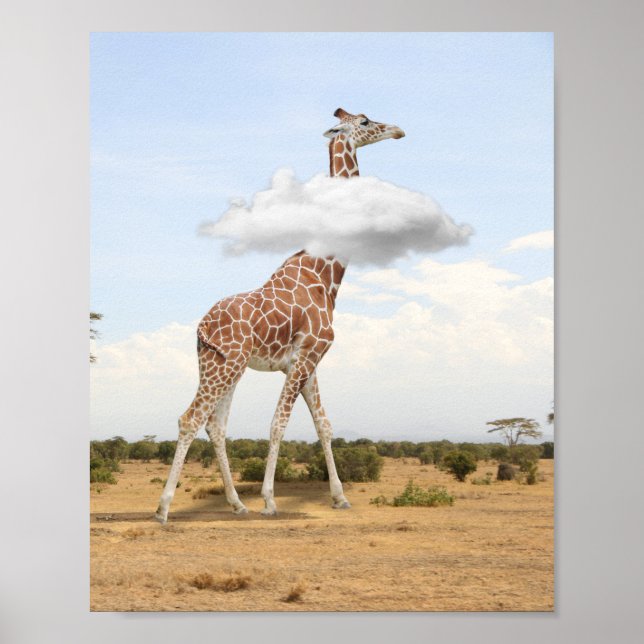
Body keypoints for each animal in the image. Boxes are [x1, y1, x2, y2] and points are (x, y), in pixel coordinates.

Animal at [155, 108, 405, 523]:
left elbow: (324, 425)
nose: (398, 130)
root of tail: (201, 328)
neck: (325, 274)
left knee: (215, 425)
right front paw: (270, 500)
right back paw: (163, 508)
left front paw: (339, 497)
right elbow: (278, 424)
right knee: (191, 418)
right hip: (226, 365)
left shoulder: (307, 361)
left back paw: (237, 504)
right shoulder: (305, 357)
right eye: (366, 121)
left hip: (221, 364)